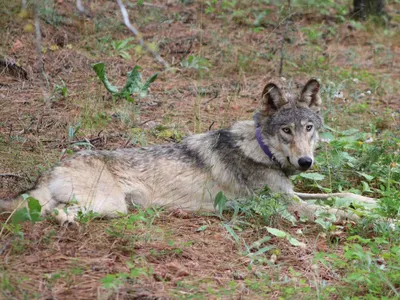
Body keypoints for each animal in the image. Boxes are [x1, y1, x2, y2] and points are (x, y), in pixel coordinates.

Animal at [0, 78, 376, 226]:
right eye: (287, 131)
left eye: (308, 128)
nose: (305, 161)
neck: (260, 149)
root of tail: (50, 171)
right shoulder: (287, 206)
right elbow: (336, 212)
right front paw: (382, 219)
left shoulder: (293, 195)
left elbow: (340, 195)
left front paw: (372, 202)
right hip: (110, 205)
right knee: (54, 213)